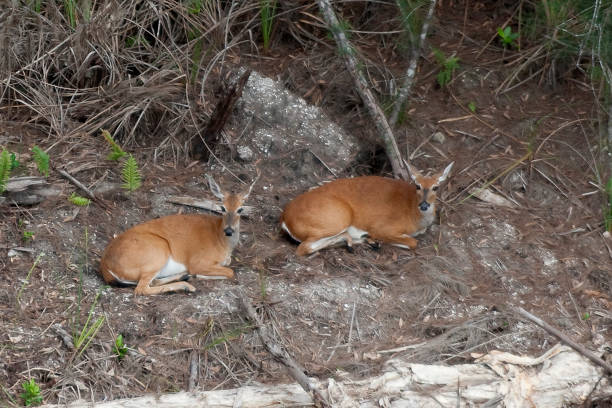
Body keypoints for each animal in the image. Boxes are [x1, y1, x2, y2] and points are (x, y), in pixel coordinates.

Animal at [99, 174, 256, 294]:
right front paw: (198, 275)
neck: (221, 240)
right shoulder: (198, 261)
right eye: (222, 208)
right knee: (141, 289)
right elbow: (230, 272)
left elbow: (228, 267)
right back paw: (187, 286)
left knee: (152, 282)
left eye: (240, 209)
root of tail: (105, 266)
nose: (229, 230)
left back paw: (183, 277)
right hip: (157, 250)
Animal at [280, 162, 452, 255]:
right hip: (337, 217)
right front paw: (375, 239)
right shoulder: (383, 227)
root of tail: (285, 219)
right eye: (417, 185)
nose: (424, 204)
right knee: (303, 248)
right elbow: (413, 242)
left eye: (436, 187)